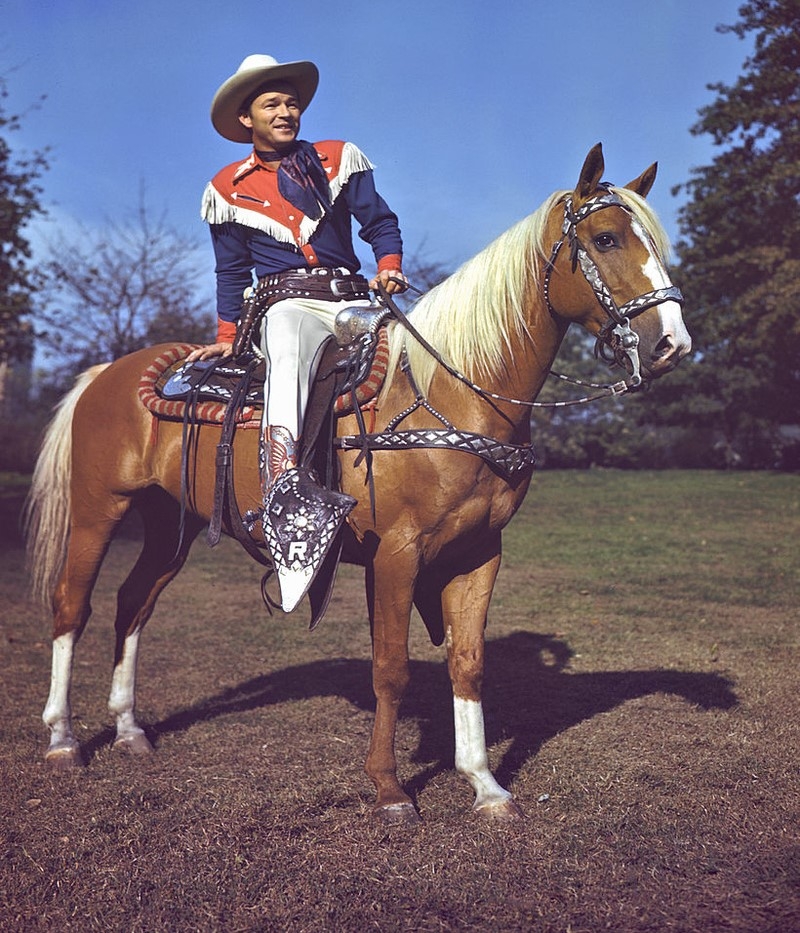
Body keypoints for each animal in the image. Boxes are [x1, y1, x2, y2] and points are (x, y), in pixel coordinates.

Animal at [26, 142, 688, 820]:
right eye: (606, 238)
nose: (672, 343)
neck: (453, 391)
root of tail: (108, 372)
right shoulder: (397, 555)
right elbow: (391, 668)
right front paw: (391, 789)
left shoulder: (479, 553)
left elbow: (468, 664)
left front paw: (485, 784)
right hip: (99, 511)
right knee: (71, 604)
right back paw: (63, 740)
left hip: (168, 526)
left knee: (133, 603)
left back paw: (130, 730)